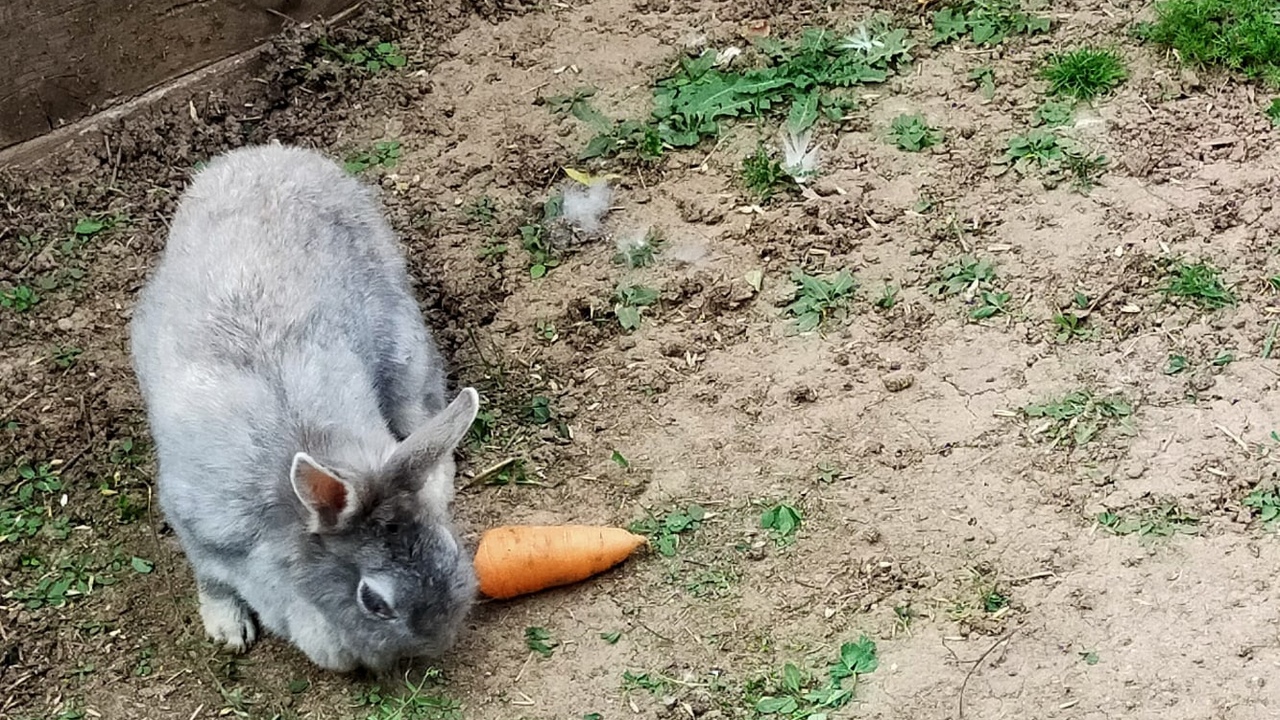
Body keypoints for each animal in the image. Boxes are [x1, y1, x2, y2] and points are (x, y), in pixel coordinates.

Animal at [129, 142, 481, 671]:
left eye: (449, 543)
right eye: (373, 601)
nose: (439, 640)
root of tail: (273, 155)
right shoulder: (197, 528)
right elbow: (212, 581)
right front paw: (229, 631)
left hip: (406, 353)